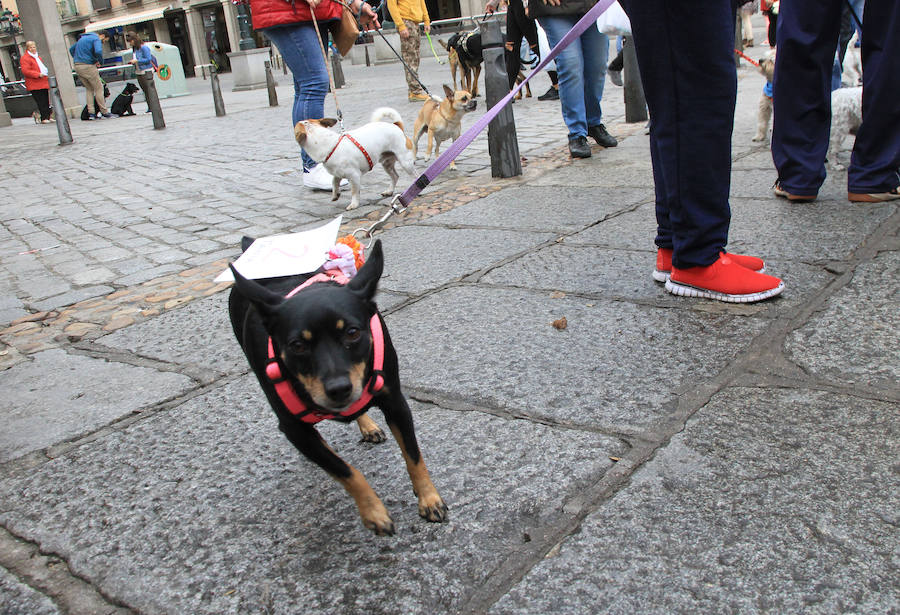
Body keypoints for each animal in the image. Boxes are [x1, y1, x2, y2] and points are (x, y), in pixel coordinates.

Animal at [229, 238, 446, 536]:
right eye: (297, 345)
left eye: (353, 333)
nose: (338, 388)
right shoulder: (295, 431)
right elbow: (345, 471)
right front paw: (374, 512)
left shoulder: (396, 404)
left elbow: (414, 456)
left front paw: (429, 498)